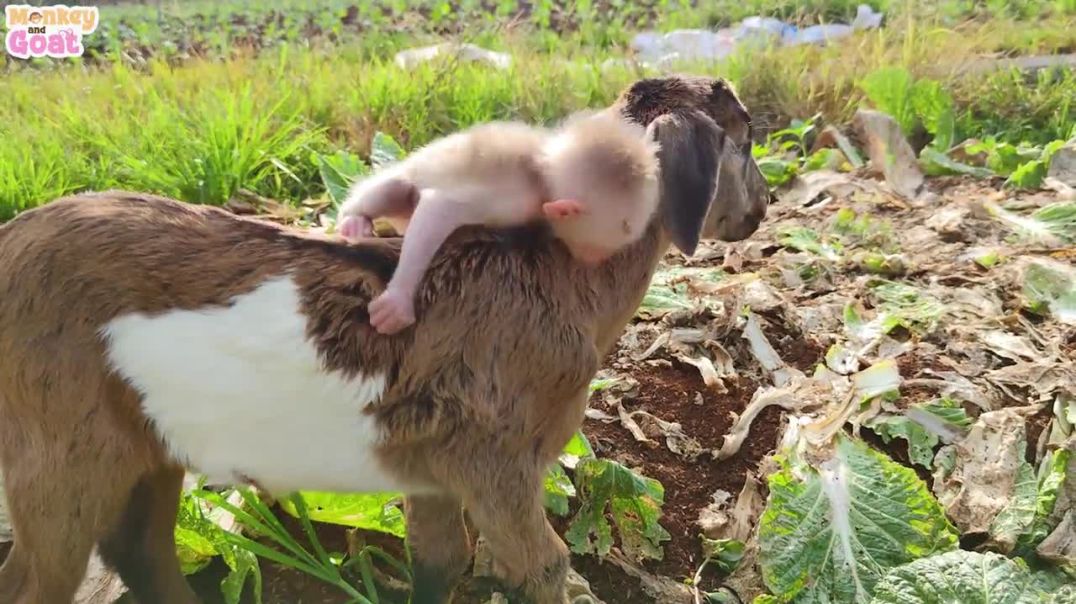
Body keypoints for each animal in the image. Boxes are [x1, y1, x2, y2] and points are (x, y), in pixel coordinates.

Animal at [335, 110, 662, 335]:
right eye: (601, 247)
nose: (595, 260)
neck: (542, 170)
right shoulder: (514, 196)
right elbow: (438, 209)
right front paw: (398, 300)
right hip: (402, 176)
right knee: (391, 189)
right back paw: (354, 219)